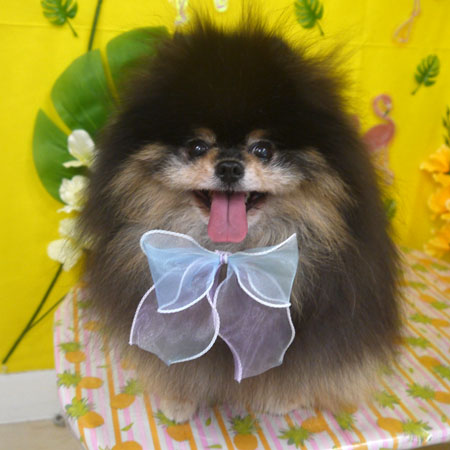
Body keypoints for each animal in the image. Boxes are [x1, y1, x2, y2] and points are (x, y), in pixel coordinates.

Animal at [79, 17, 401, 422]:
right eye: (197, 146)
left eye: (263, 149)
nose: (230, 166)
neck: (228, 254)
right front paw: (180, 398)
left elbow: (293, 363)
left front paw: (282, 398)